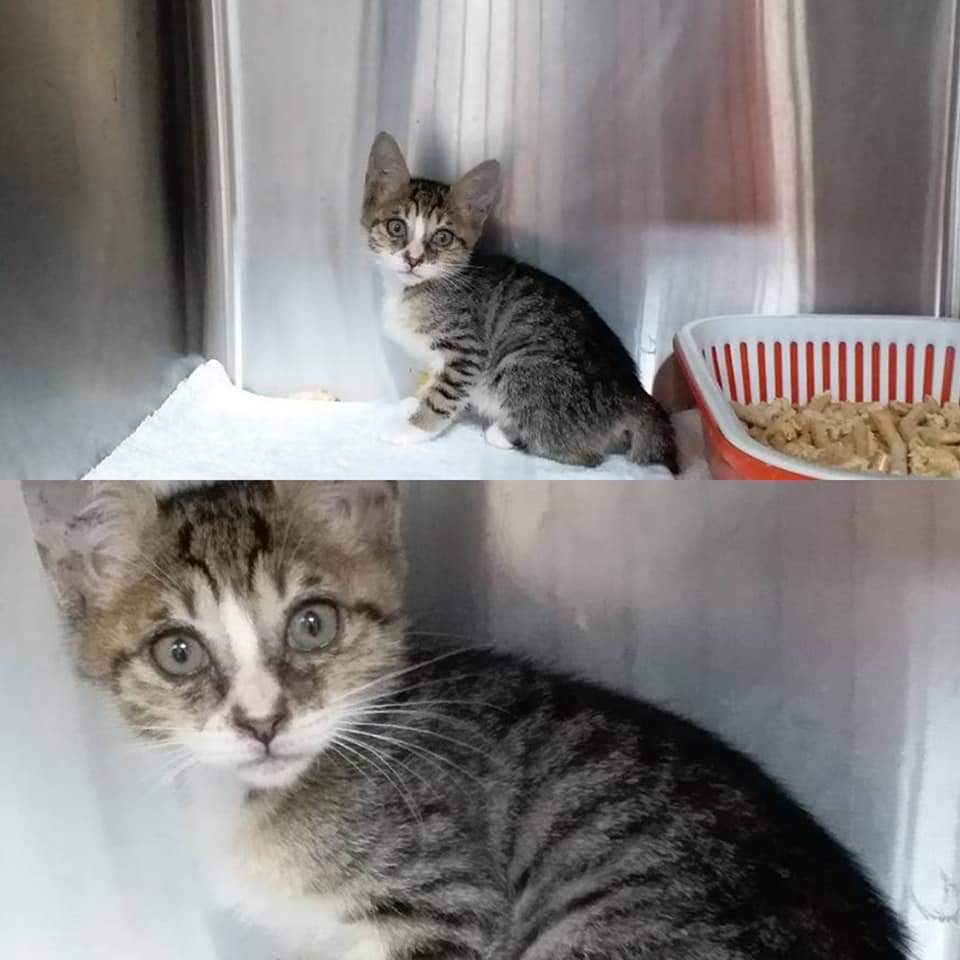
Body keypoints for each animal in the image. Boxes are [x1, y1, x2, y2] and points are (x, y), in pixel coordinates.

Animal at [363, 133, 679, 474]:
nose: (414, 259)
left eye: (443, 237)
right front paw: (412, 402)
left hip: (523, 365)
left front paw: (412, 427)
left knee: (585, 456)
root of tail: (631, 391)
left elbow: (444, 395)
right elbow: (434, 382)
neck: (413, 289)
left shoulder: (467, 351)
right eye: (396, 227)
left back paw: (506, 434)